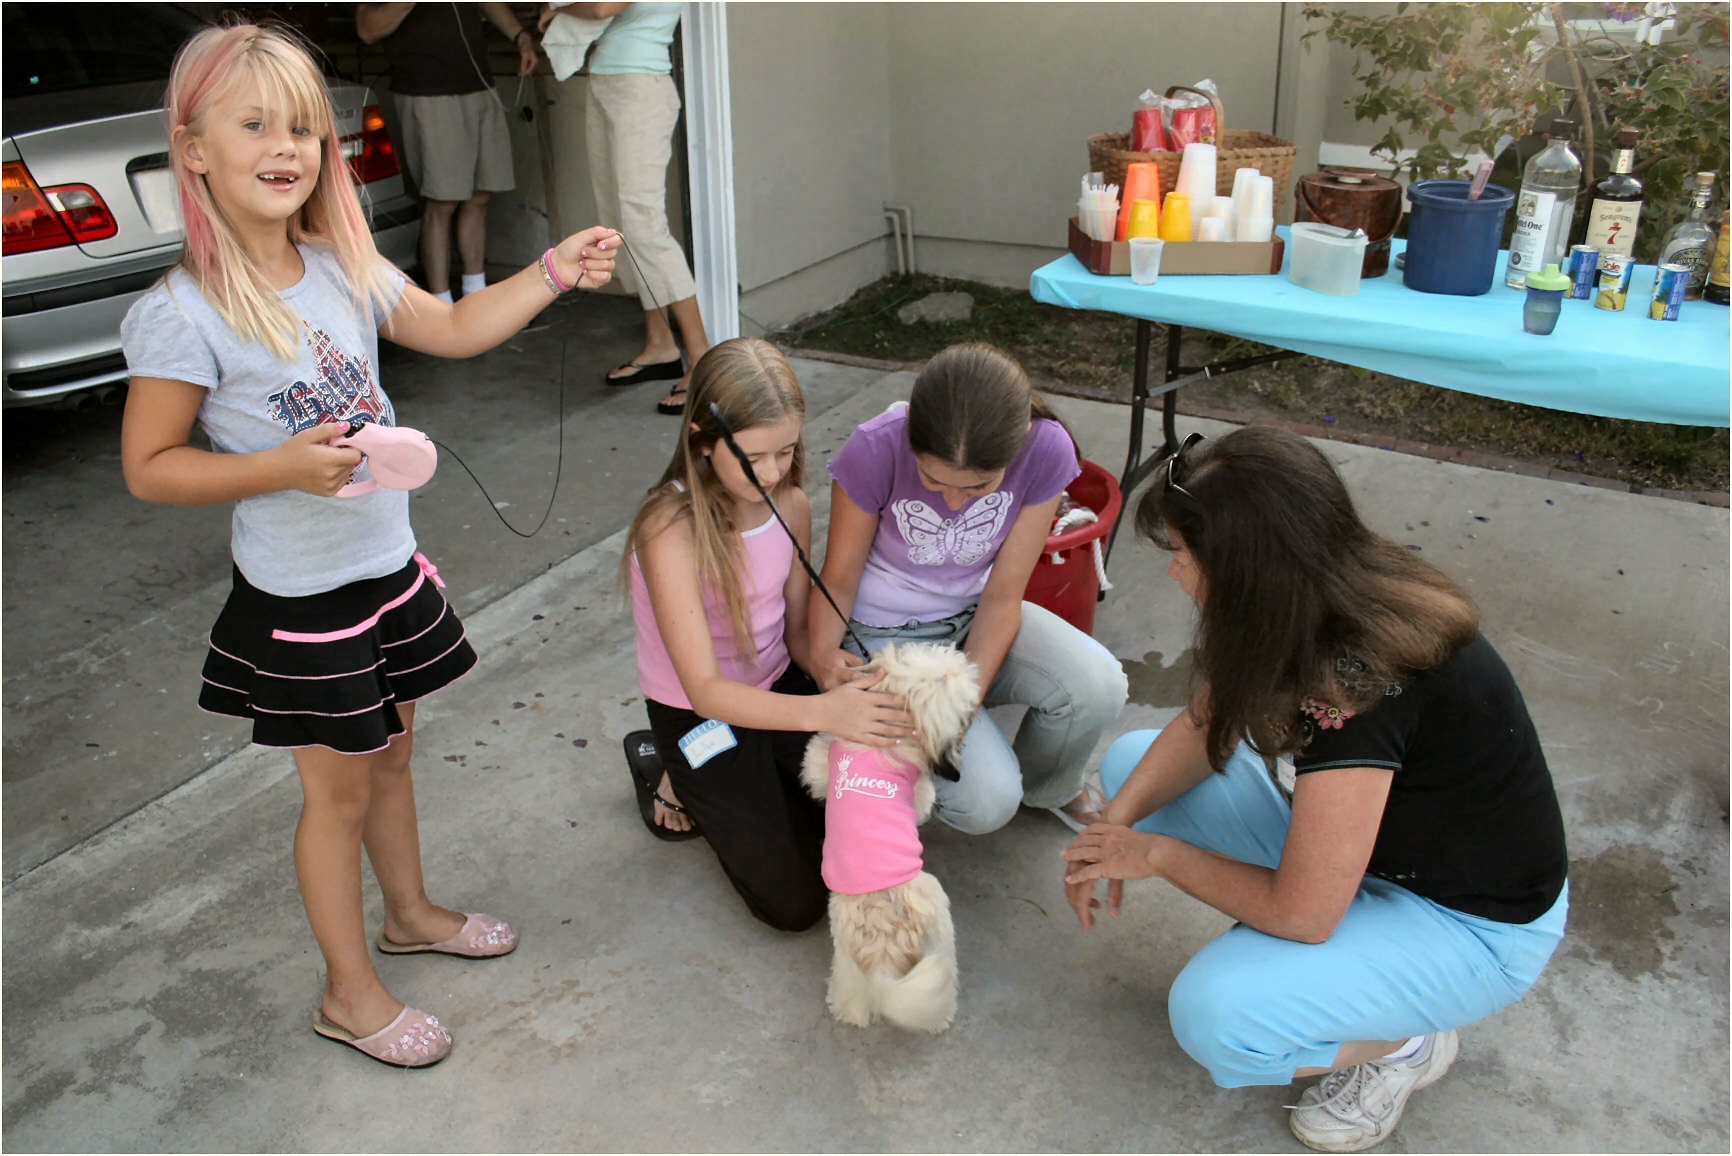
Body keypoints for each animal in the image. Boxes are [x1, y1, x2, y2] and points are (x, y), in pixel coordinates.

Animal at [796, 641, 976, 1032]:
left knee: (853, 1000)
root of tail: (886, 931)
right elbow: (923, 800)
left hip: (847, 956)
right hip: (939, 924)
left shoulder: (822, 764)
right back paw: (941, 1015)